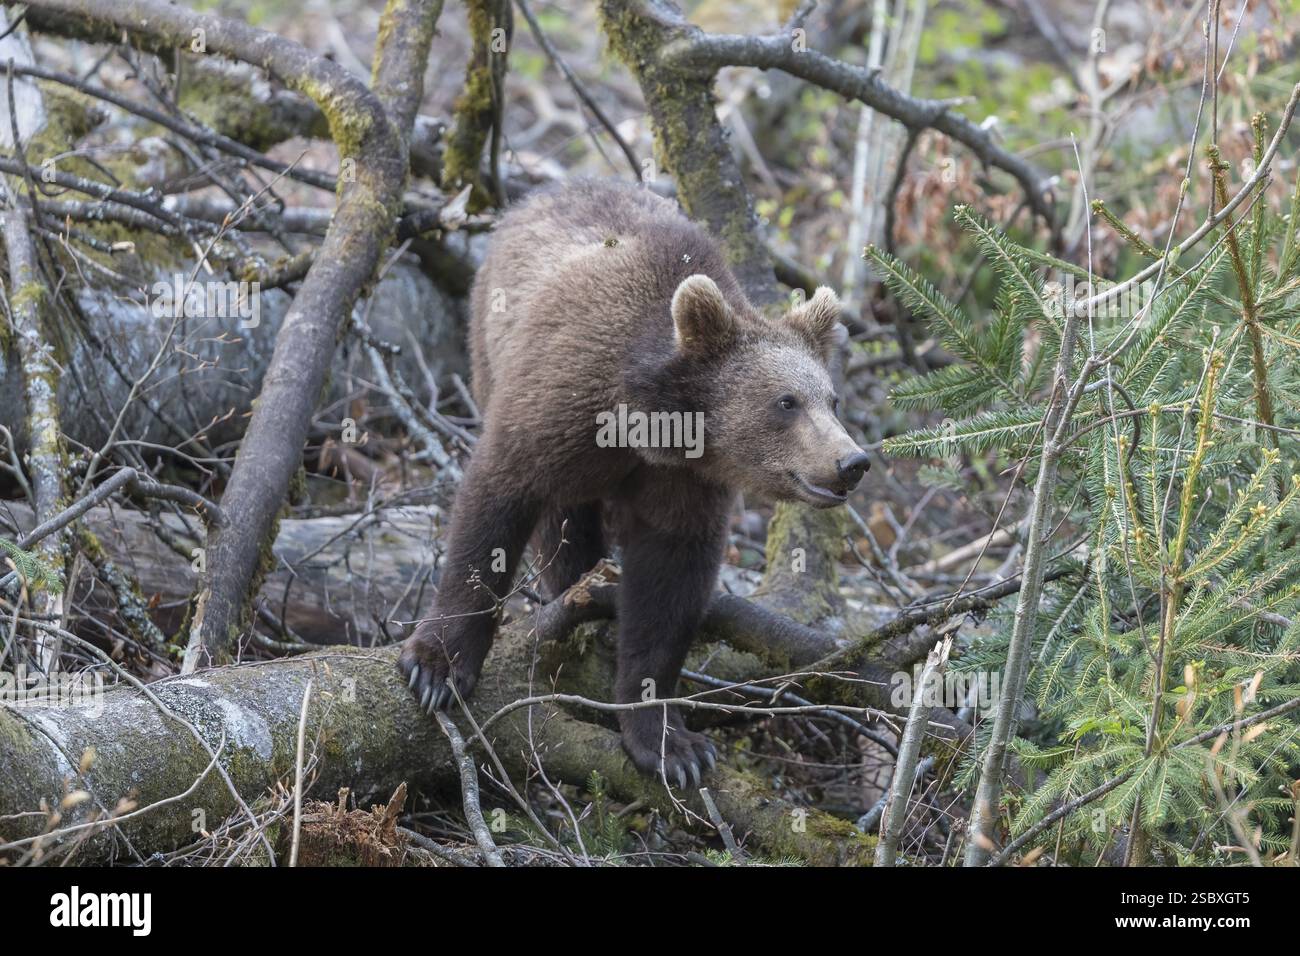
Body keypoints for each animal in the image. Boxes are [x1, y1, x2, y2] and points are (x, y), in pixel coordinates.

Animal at [398, 178, 869, 786]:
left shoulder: (684, 482)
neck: (650, 422)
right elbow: (497, 501)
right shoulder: (564, 399)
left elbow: (668, 584)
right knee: (561, 513)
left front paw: (671, 743)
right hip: (486, 342)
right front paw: (438, 664)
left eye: (831, 400)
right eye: (786, 402)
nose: (851, 461)